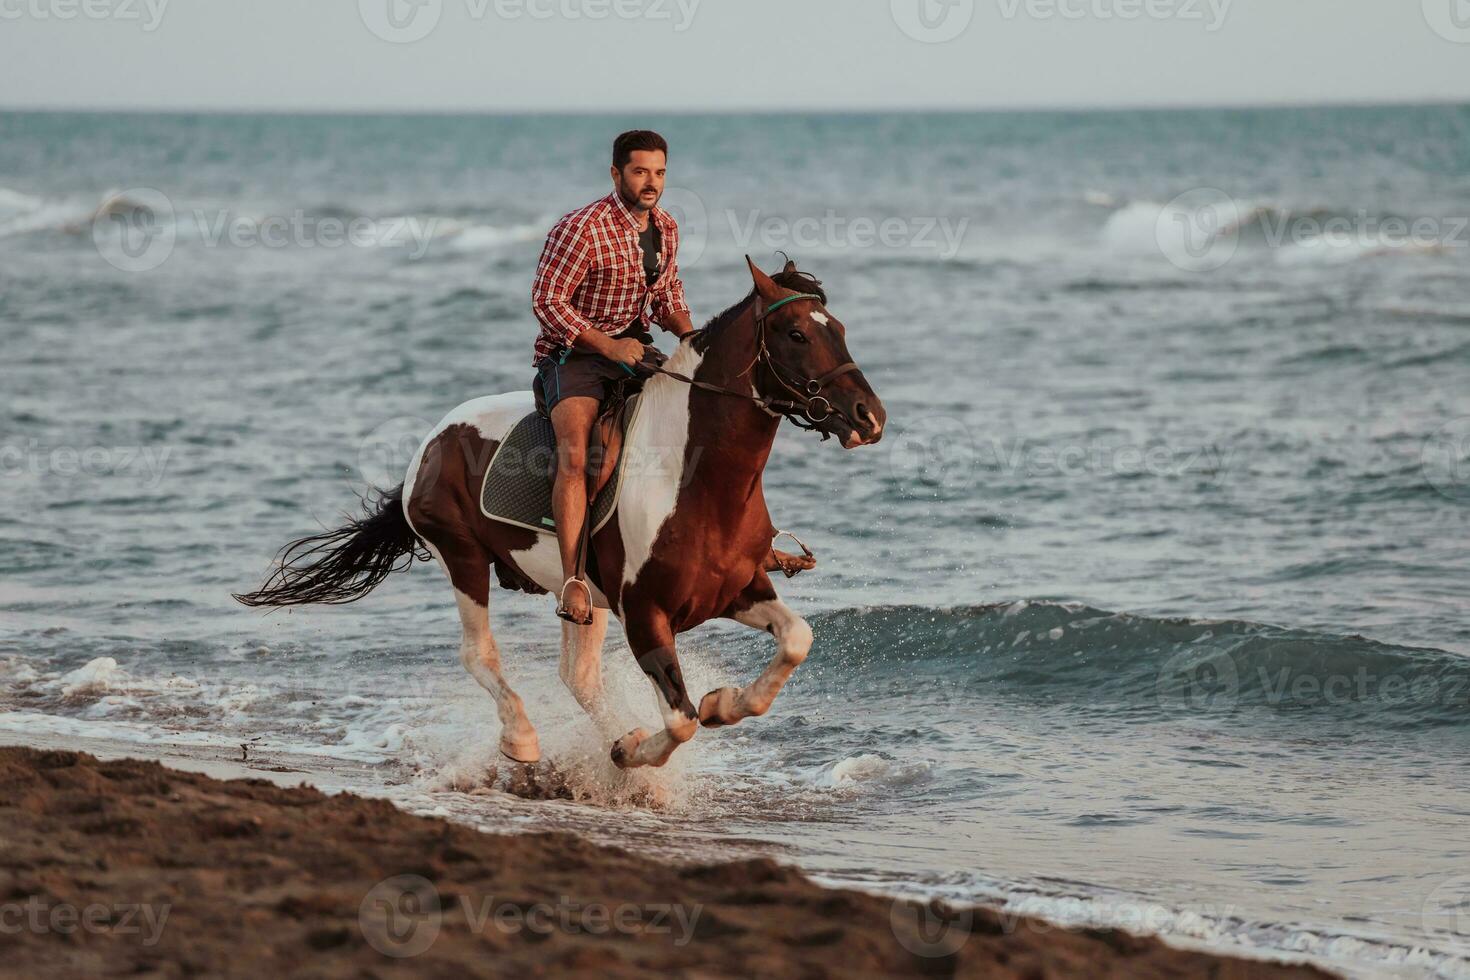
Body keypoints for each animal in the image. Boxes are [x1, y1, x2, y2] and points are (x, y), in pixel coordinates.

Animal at [235, 258, 887, 775]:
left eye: (840, 330)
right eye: (796, 333)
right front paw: (637, 749)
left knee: (578, 675)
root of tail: (433, 440)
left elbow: (796, 640)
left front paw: (719, 704)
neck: (692, 479)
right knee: (481, 654)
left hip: (582, 596)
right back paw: (523, 740)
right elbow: (680, 721)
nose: (869, 416)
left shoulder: (738, 589)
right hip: (463, 558)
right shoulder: (646, 615)